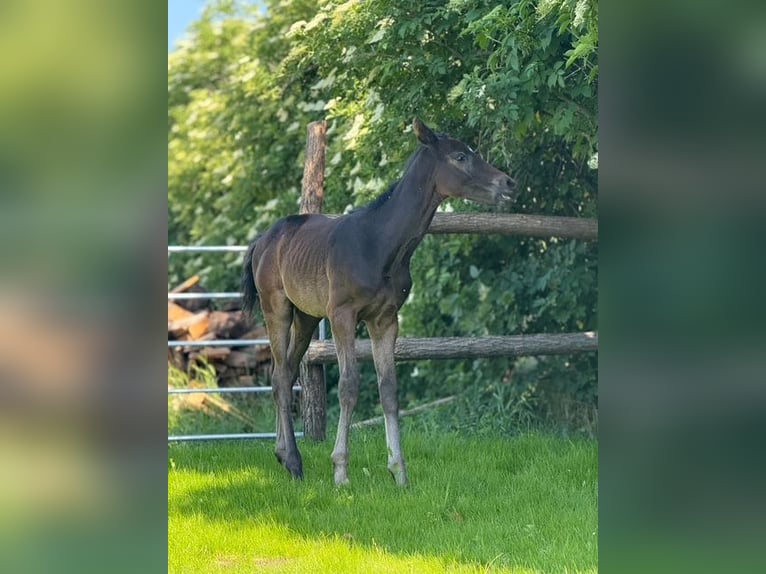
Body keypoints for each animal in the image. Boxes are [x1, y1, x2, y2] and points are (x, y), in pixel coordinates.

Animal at [241, 118, 516, 486]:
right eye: (460, 156)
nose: (509, 184)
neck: (380, 244)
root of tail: (261, 240)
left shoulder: (385, 319)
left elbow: (388, 389)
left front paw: (399, 473)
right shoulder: (343, 316)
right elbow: (349, 385)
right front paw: (341, 472)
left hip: (307, 317)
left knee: (282, 374)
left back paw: (284, 456)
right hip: (277, 310)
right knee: (281, 377)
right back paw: (296, 463)